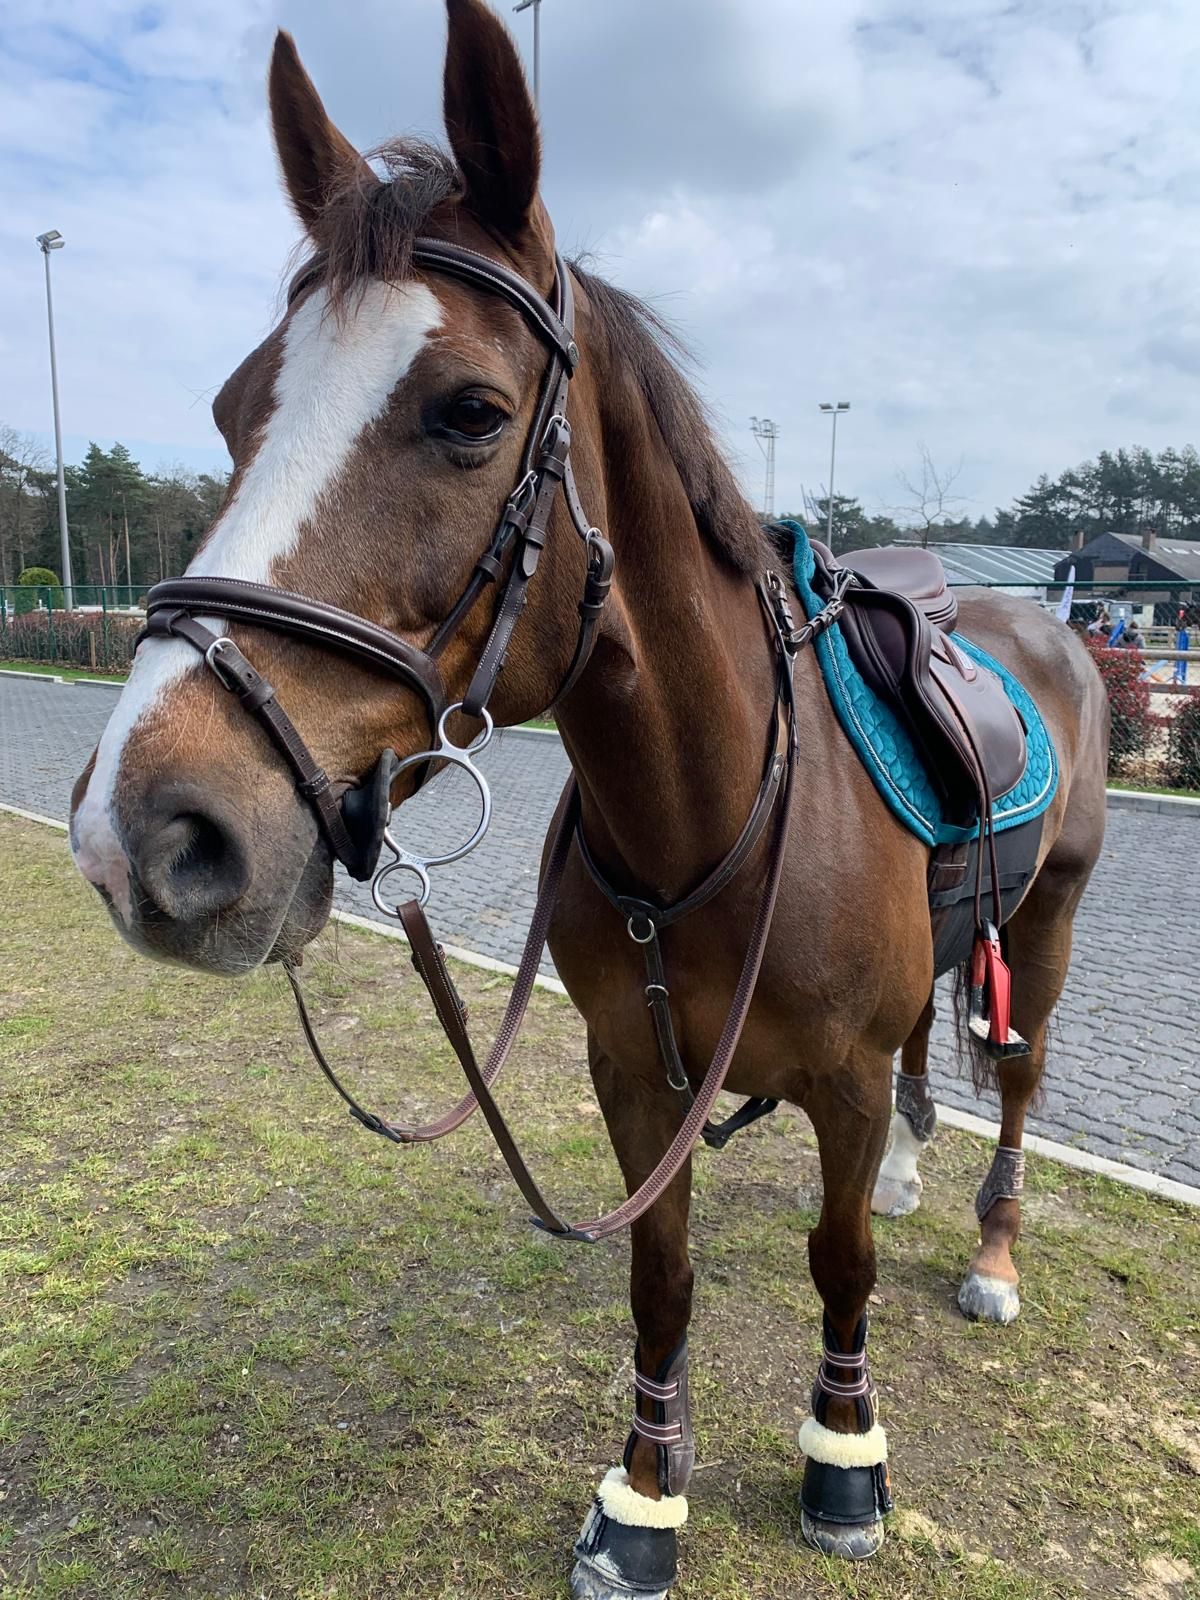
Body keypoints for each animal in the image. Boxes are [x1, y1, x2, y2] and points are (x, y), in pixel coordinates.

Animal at [69, 3, 1109, 1594]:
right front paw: (645, 1494)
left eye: (470, 412)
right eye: (235, 410)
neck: (717, 815)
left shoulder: (838, 1080)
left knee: (1021, 1072)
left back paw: (989, 1248)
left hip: (1047, 918)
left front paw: (843, 1453)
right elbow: (661, 1277)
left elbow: (841, 1265)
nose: (146, 836)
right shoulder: (634, 1075)